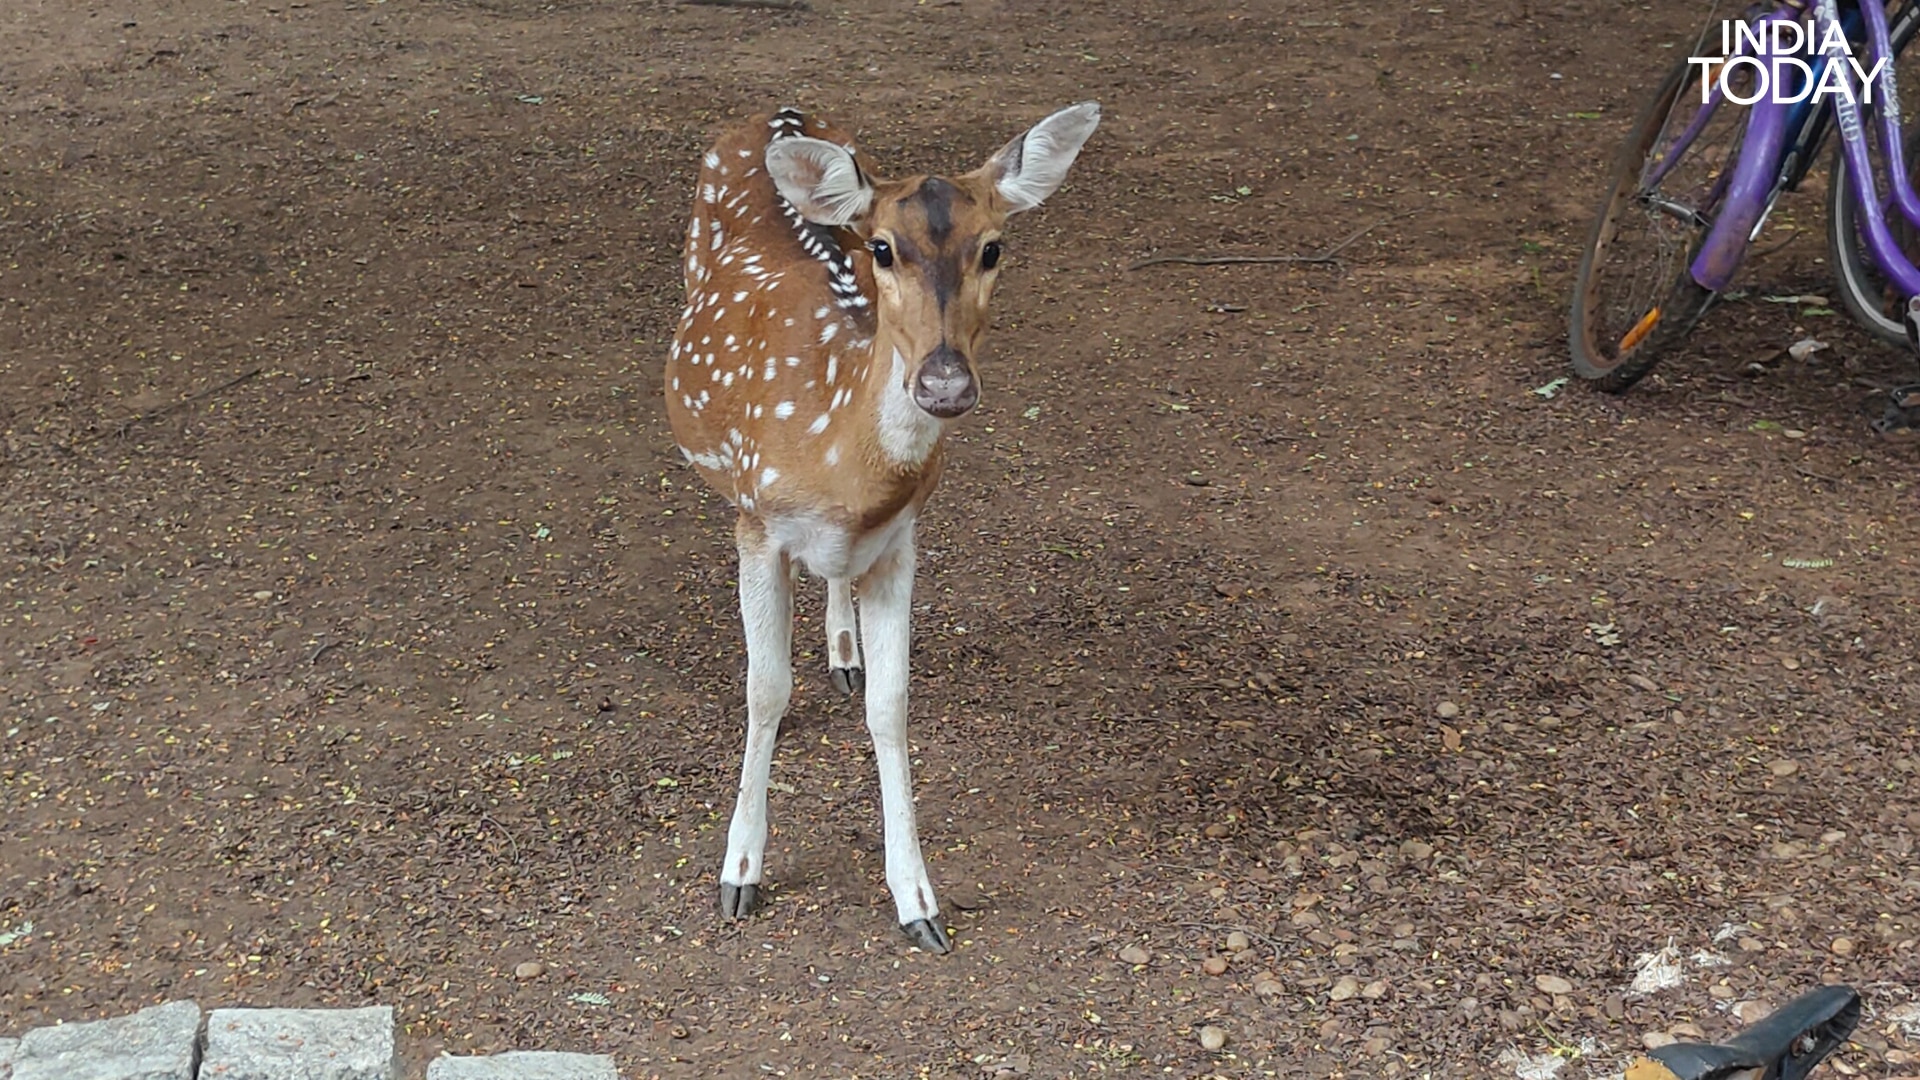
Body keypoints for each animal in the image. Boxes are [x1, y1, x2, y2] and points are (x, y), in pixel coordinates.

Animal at [663, 101, 1100, 952]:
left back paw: (844, 651)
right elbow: (764, 690)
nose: (944, 383)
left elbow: (892, 708)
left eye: (993, 247)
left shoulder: (901, 541)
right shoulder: (759, 523)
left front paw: (918, 900)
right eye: (884, 247)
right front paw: (740, 873)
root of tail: (776, 114)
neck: (842, 463)